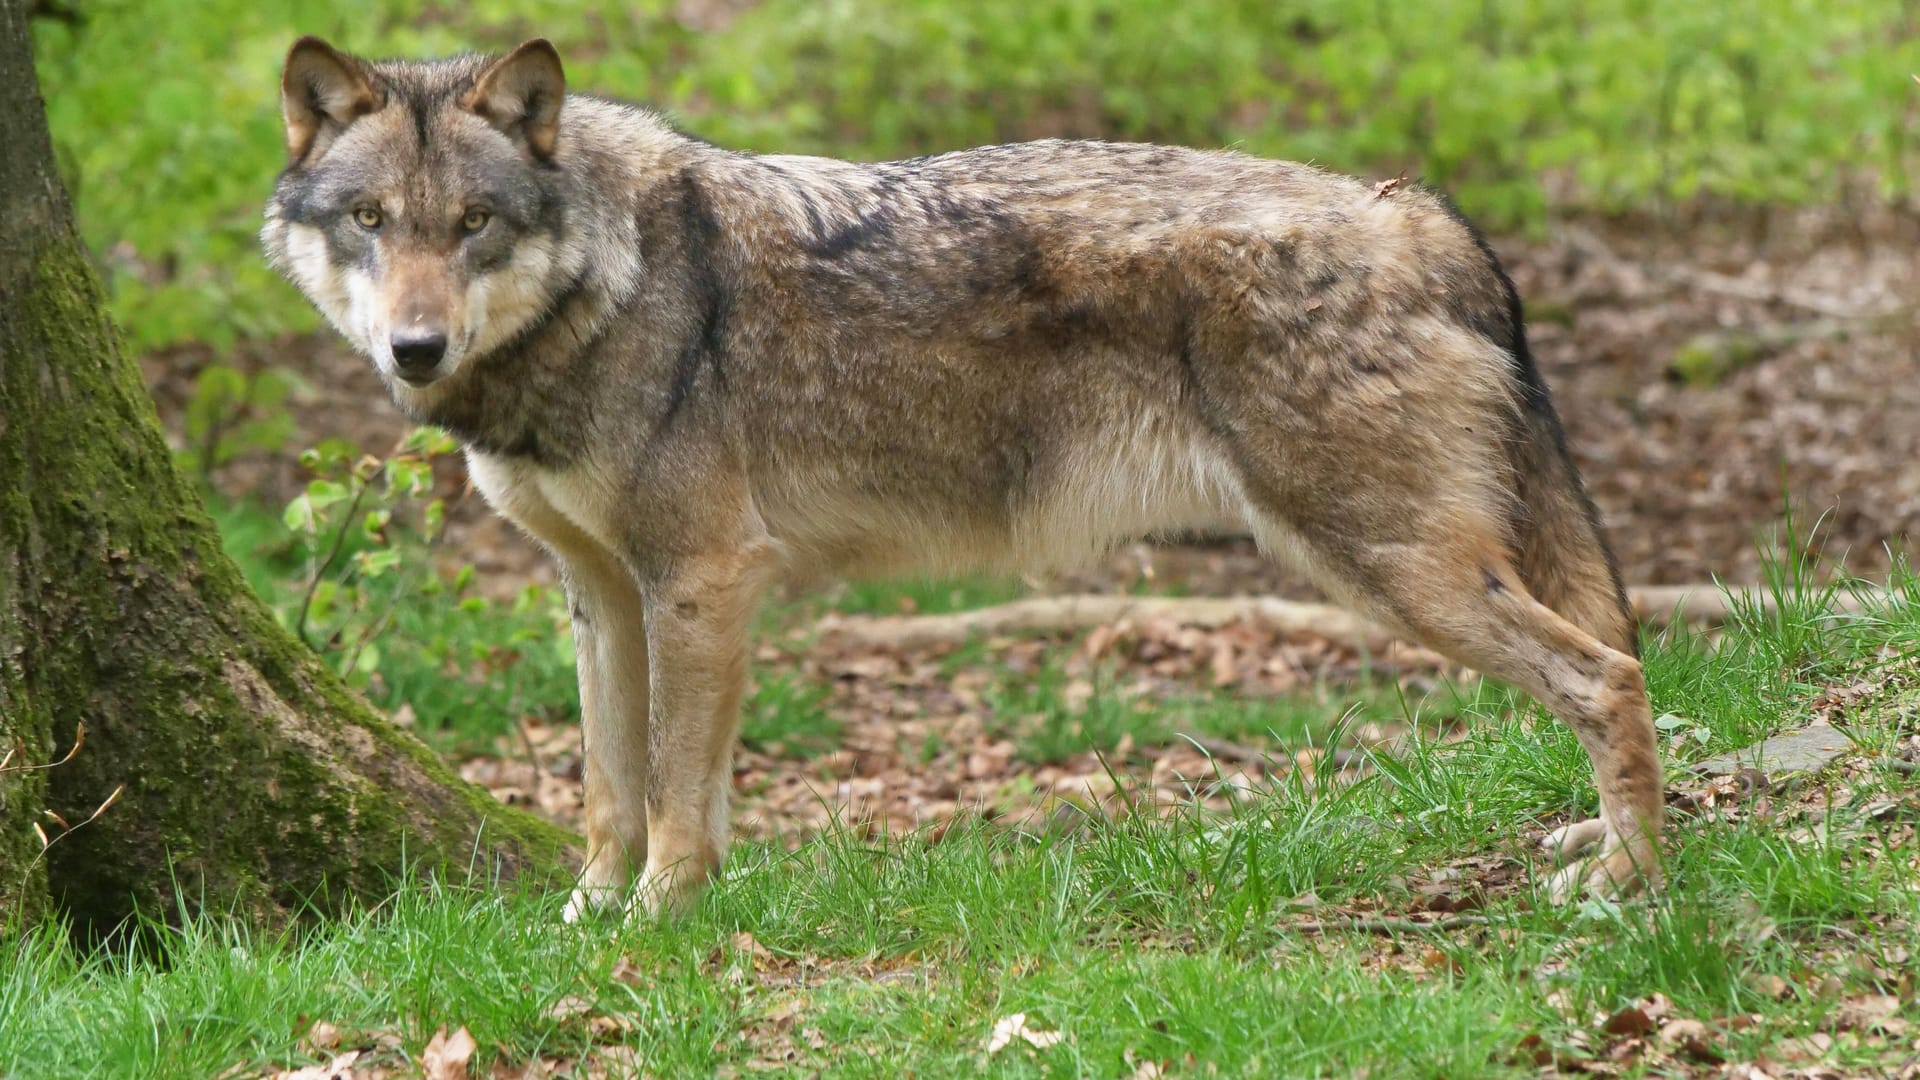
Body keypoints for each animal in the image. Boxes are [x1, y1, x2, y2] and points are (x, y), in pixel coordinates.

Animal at [266, 35, 1666, 914]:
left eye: (475, 225)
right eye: (371, 222)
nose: (413, 347)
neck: (607, 290)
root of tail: (1420, 210)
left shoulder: (703, 581)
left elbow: (671, 792)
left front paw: (661, 924)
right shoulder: (603, 595)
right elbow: (608, 788)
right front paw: (585, 922)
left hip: (1391, 571)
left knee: (1611, 675)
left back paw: (1628, 887)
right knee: (1614, 661)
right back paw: (1602, 850)